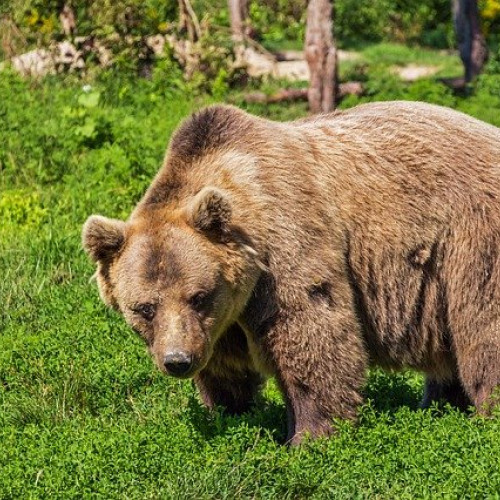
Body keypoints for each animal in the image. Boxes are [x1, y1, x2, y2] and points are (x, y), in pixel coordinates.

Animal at [82, 99, 500, 444]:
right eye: (144, 308)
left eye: (198, 296)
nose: (177, 361)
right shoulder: (224, 319)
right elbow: (226, 366)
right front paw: (227, 412)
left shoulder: (286, 245)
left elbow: (310, 333)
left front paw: (309, 435)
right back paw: (440, 405)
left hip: (472, 240)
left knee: (482, 328)